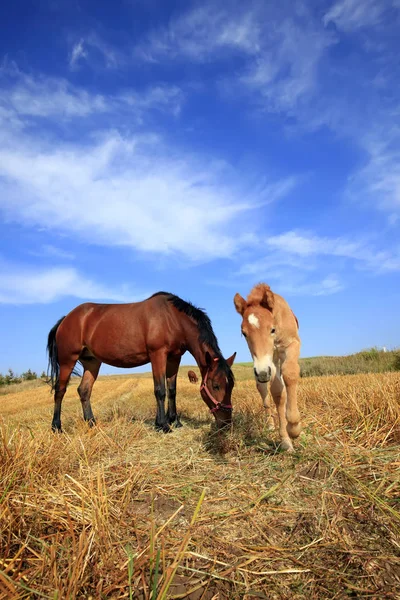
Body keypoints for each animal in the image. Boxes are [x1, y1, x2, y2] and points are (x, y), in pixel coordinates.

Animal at [47, 290, 236, 432]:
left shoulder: (174, 358)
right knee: (60, 391)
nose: (227, 423)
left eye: (231, 385)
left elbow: (172, 390)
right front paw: (163, 426)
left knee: (84, 390)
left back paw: (91, 423)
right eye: (216, 385)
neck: (172, 319)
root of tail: (66, 318)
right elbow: (160, 390)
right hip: (67, 360)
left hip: (92, 362)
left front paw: (174, 421)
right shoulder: (158, 355)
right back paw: (57, 427)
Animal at [233, 284, 302, 452]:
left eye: (272, 329)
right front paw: (286, 439)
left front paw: (294, 427)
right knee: (264, 390)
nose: (263, 373)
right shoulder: (267, 361)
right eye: (244, 333)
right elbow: (277, 392)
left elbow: (290, 374)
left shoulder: (292, 344)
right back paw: (271, 424)